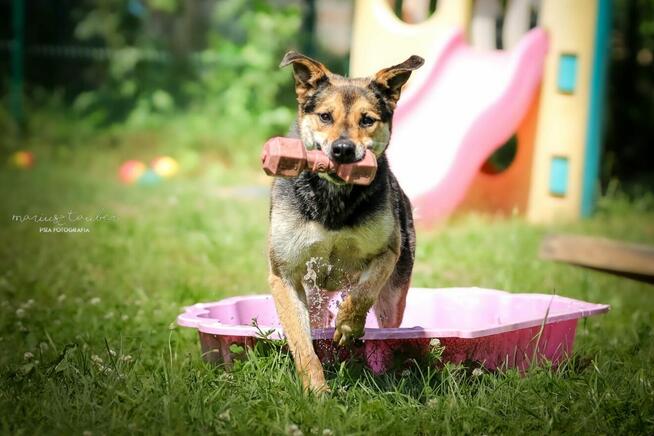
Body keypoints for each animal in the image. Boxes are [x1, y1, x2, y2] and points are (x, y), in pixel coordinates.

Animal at [268, 51, 426, 392]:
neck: (334, 198)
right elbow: (303, 343)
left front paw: (348, 325)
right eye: (325, 116)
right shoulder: (284, 273)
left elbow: (363, 292)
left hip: (395, 293)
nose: (342, 150)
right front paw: (316, 390)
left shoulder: (387, 252)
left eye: (367, 120)